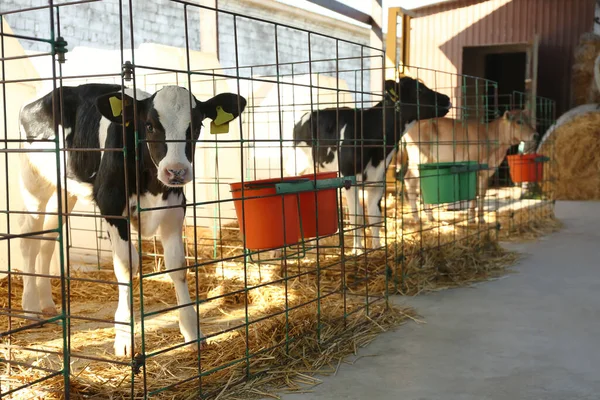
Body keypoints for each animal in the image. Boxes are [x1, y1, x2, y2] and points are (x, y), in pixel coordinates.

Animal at [19, 82, 246, 356]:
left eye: (196, 126)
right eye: (149, 126)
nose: (176, 171)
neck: (151, 185)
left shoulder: (175, 206)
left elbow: (178, 266)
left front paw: (192, 332)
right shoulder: (111, 205)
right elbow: (127, 266)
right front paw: (125, 338)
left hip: (63, 191)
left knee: (49, 238)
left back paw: (47, 303)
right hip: (33, 184)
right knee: (28, 239)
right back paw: (31, 306)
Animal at [286, 78, 450, 253]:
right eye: (419, 90)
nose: (447, 99)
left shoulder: (378, 181)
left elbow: (374, 216)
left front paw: (377, 247)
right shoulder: (349, 180)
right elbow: (357, 217)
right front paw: (357, 250)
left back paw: (315, 244)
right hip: (297, 166)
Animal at [400, 109, 536, 222]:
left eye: (529, 120)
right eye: (519, 121)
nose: (536, 134)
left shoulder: (486, 171)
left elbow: (482, 193)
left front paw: (481, 218)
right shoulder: (473, 167)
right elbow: (473, 192)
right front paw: (471, 218)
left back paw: (429, 216)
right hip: (419, 158)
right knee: (410, 181)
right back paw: (417, 218)